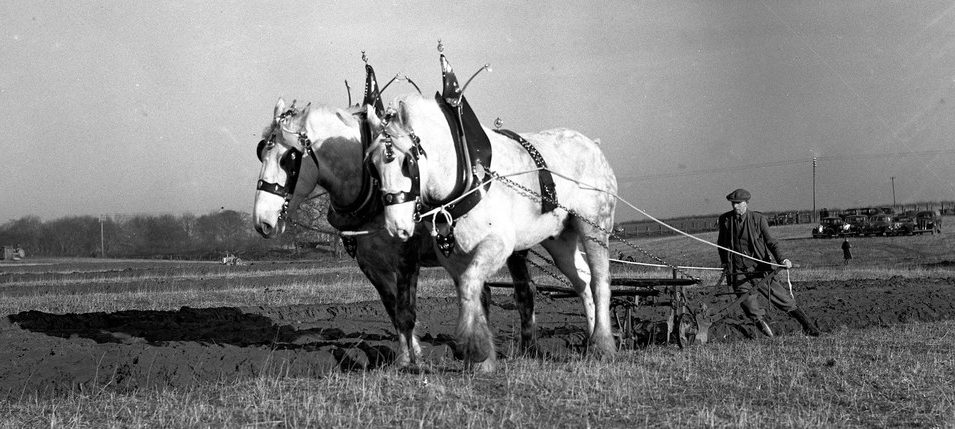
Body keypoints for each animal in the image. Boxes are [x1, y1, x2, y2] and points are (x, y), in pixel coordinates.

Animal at [250, 98, 540, 366]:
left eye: (288, 159)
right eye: (260, 153)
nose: (262, 222)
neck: (371, 191)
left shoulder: (407, 259)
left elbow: (406, 311)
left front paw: (414, 362)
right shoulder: (370, 265)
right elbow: (393, 310)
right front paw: (406, 357)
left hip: (514, 248)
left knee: (524, 292)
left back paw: (527, 351)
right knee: (484, 293)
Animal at [366, 93, 620, 372]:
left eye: (406, 161)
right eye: (373, 167)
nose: (396, 226)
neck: (467, 176)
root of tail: (593, 145)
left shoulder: (498, 245)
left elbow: (470, 286)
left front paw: (474, 349)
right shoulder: (453, 257)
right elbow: (472, 293)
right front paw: (483, 357)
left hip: (594, 227)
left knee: (600, 281)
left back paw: (603, 344)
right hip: (560, 240)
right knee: (582, 281)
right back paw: (590, 340)